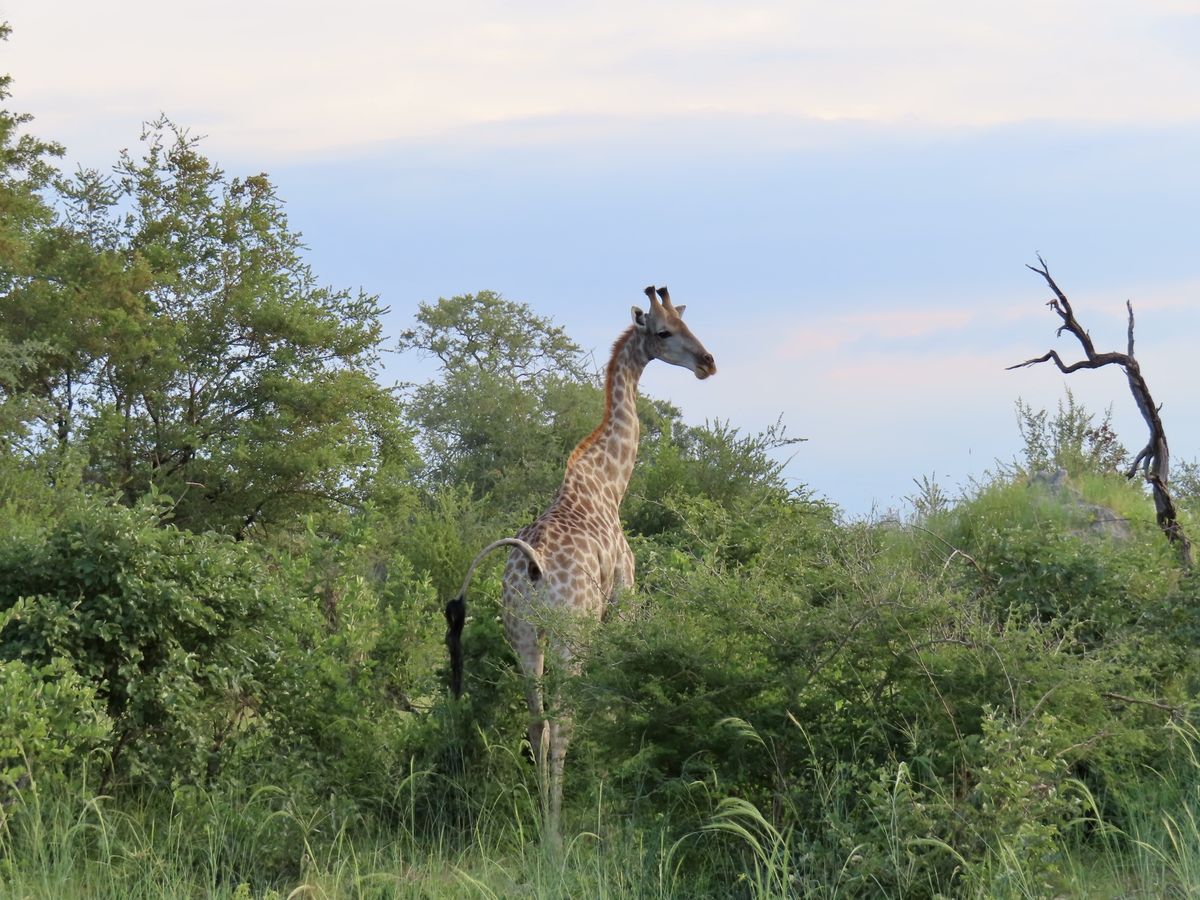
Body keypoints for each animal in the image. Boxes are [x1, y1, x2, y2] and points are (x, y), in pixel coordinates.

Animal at [444, 285, 716, 834]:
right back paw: (559, 825)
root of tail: (531, 566)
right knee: (563, 719)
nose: (708, 362)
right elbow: (612, 695)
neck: (609, 483)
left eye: (687, 322)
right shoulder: (622, 600)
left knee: (536, 721)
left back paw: (540, 816)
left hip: (523, 634)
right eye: (664, 332)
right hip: (575, 632)